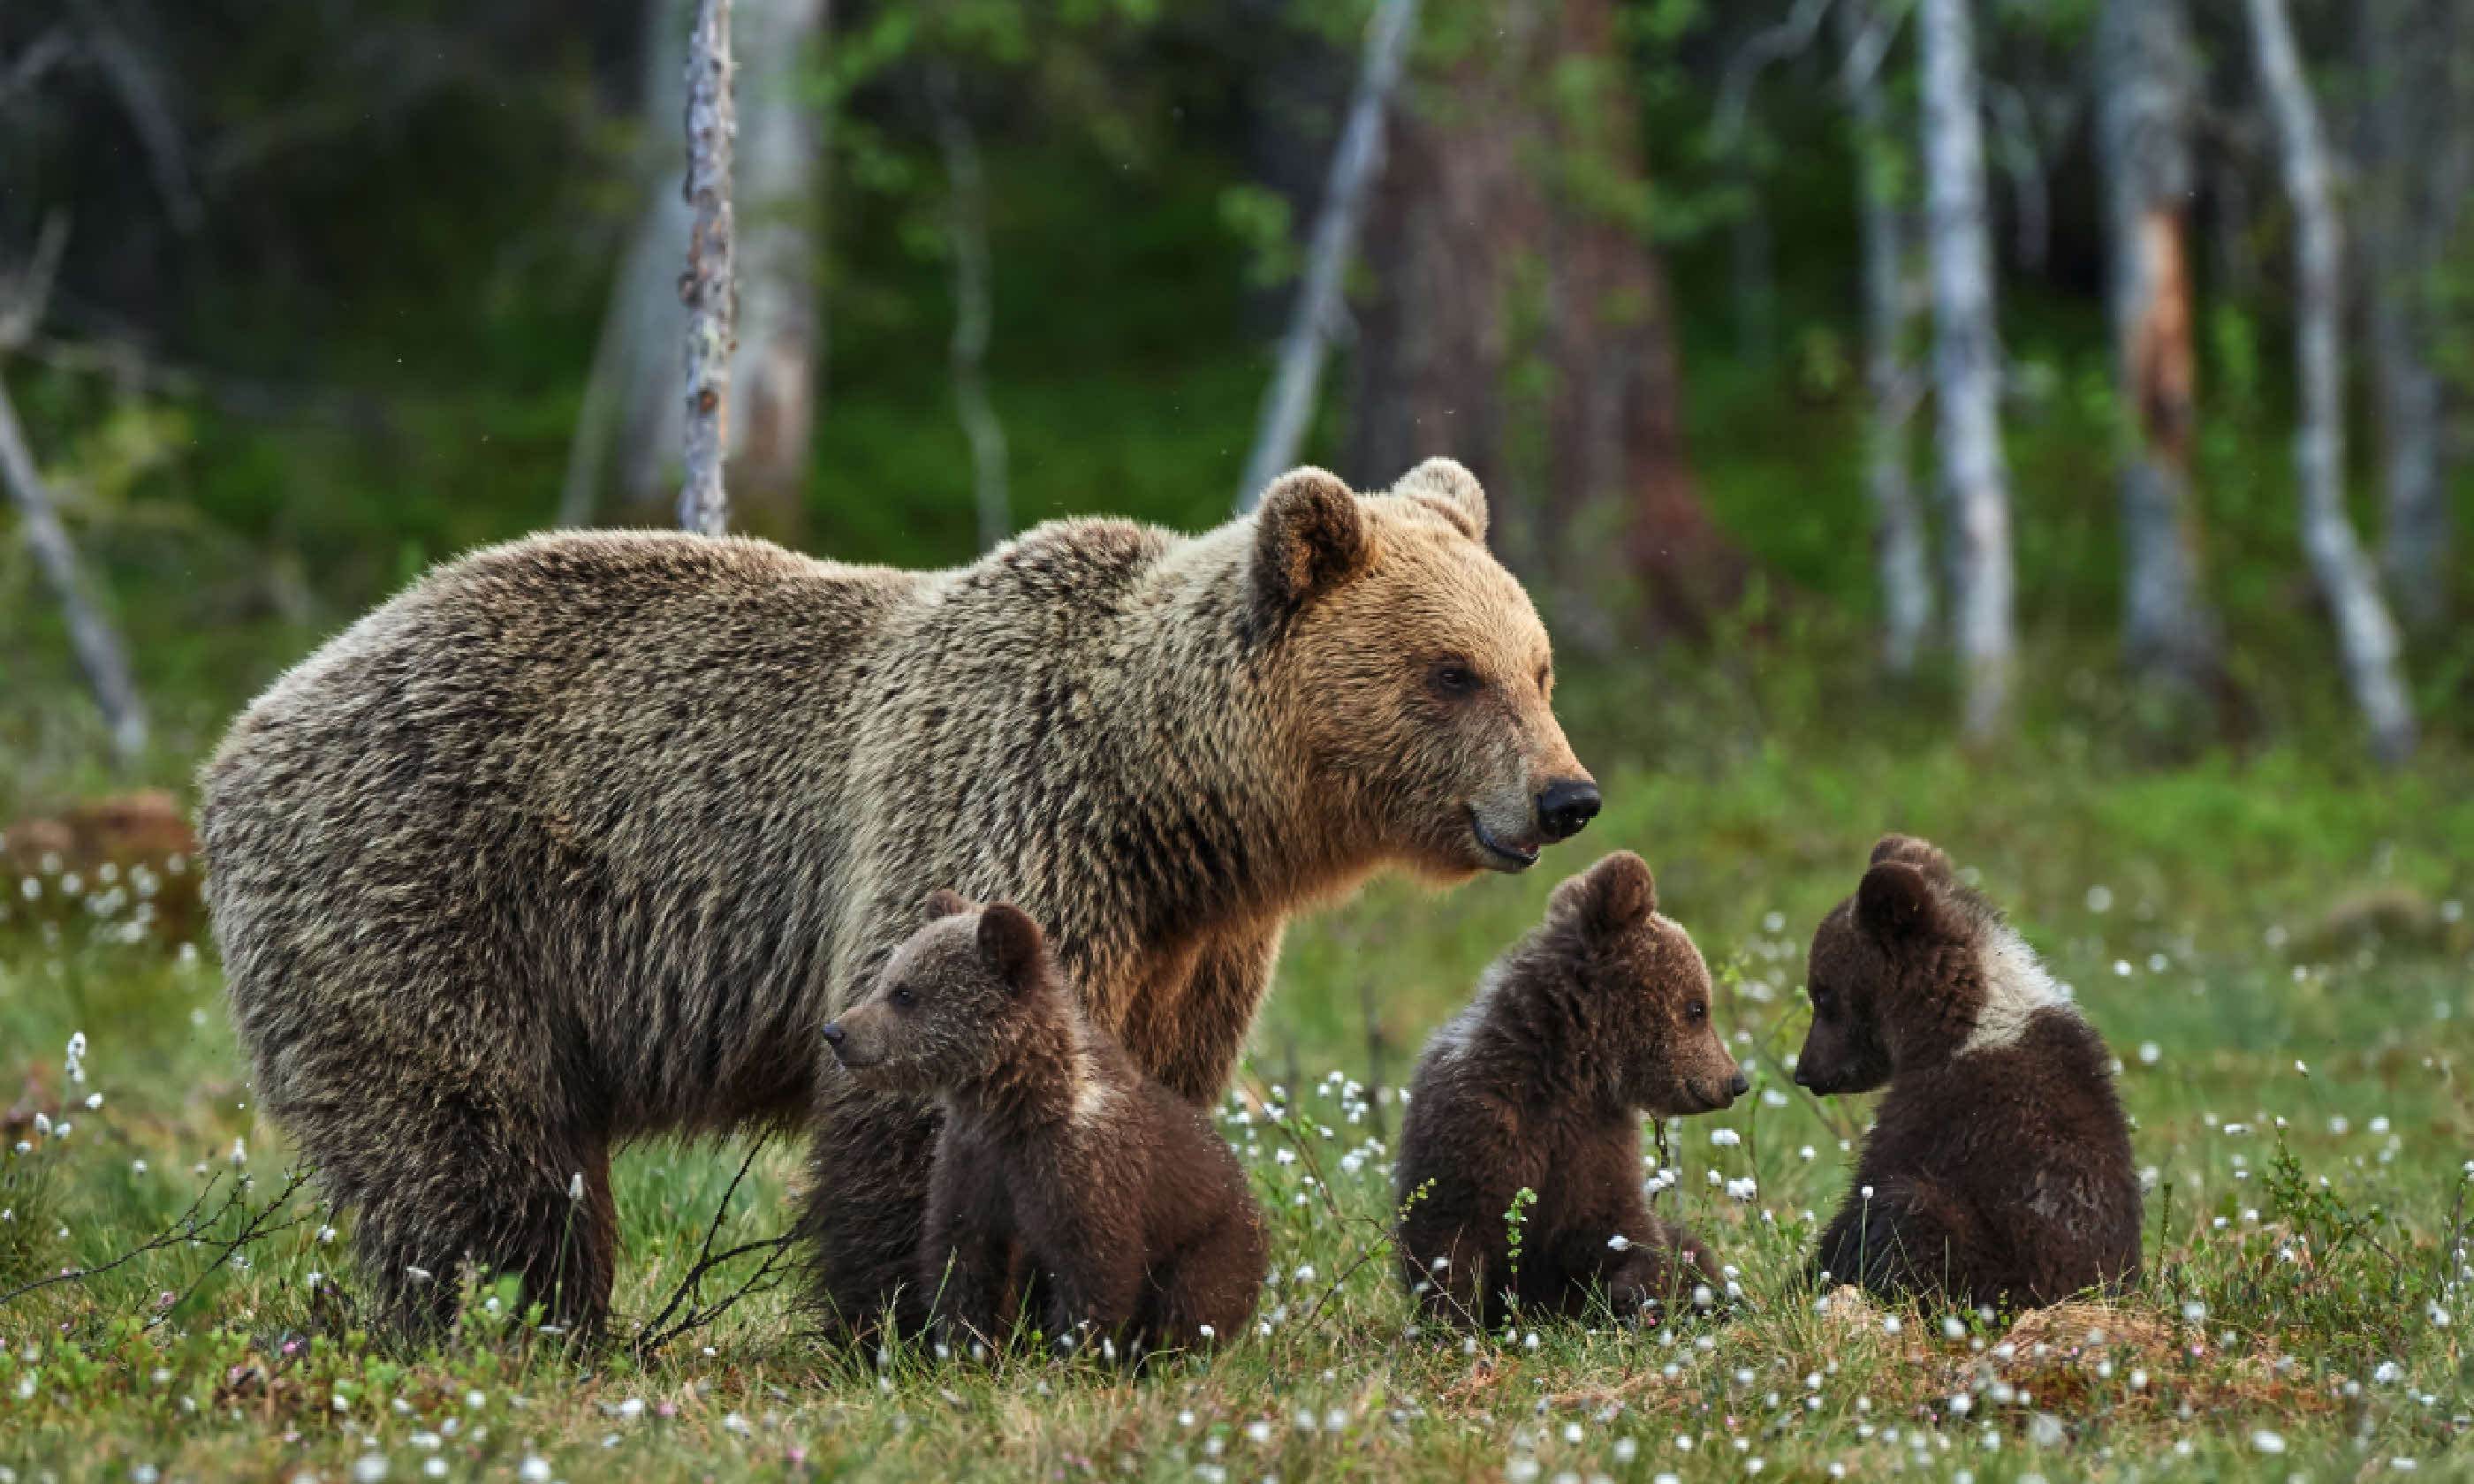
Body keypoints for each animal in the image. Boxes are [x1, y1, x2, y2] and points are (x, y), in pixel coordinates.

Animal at [826, 885, 1256, 1365]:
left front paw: (1074, 1357)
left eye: (904, 993)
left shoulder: (1083, 1170)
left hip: (1211, 1245)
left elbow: (1094, 1272)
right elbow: (963, 1259)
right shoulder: (972, 1161)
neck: (1014, 1102)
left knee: (1190, 1306)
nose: (836, 1032)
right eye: (888, 978)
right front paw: (965, 1351)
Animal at [1405, 845, 1751, 1336]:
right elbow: (1448, 1239)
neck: (1566, 1072)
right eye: (1697, 1008)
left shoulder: (1595, 1138)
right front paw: (1450, 1329)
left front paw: (1635, 1293)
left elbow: (1620, 1227)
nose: (1736, 1081)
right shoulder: (1477, 1122)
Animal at [1801, 836, 2147, 1306]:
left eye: (1823, 994)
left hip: (1996, 1265)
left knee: (1909, 1209)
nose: (1805, 1072)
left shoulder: (1944, 1113)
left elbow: (1868, 1188)